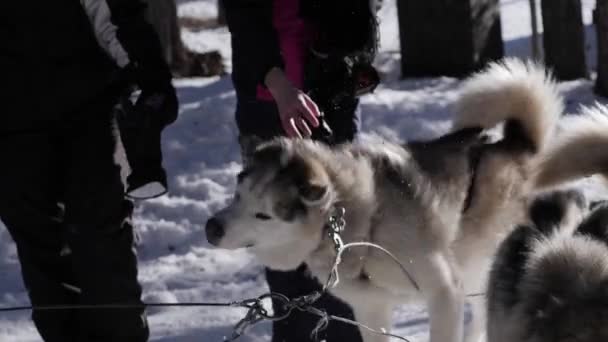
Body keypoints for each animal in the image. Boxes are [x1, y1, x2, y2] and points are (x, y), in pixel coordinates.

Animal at [205, 58, 564, 342]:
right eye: (238, 196)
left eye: (264, 215)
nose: (211, 228)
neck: (362, 225)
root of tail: (517, 143)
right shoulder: (371, 310)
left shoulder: (445, 293)